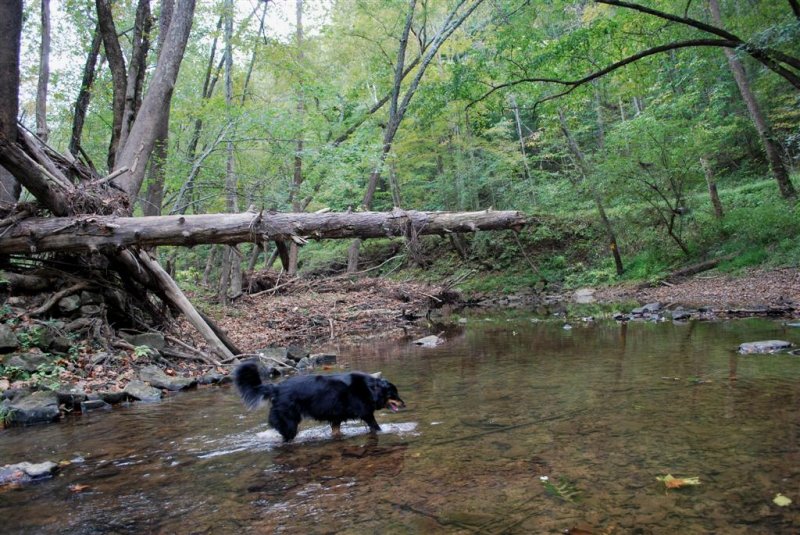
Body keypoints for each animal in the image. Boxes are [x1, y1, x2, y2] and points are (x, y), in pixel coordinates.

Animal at [233, 360, 406, 444]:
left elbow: (336, 432)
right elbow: (377, 428)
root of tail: (275, 388)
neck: (370, 389)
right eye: (394, 394)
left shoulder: (336, 419)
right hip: (289, 424)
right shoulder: (367, 414)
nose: (404, 404)